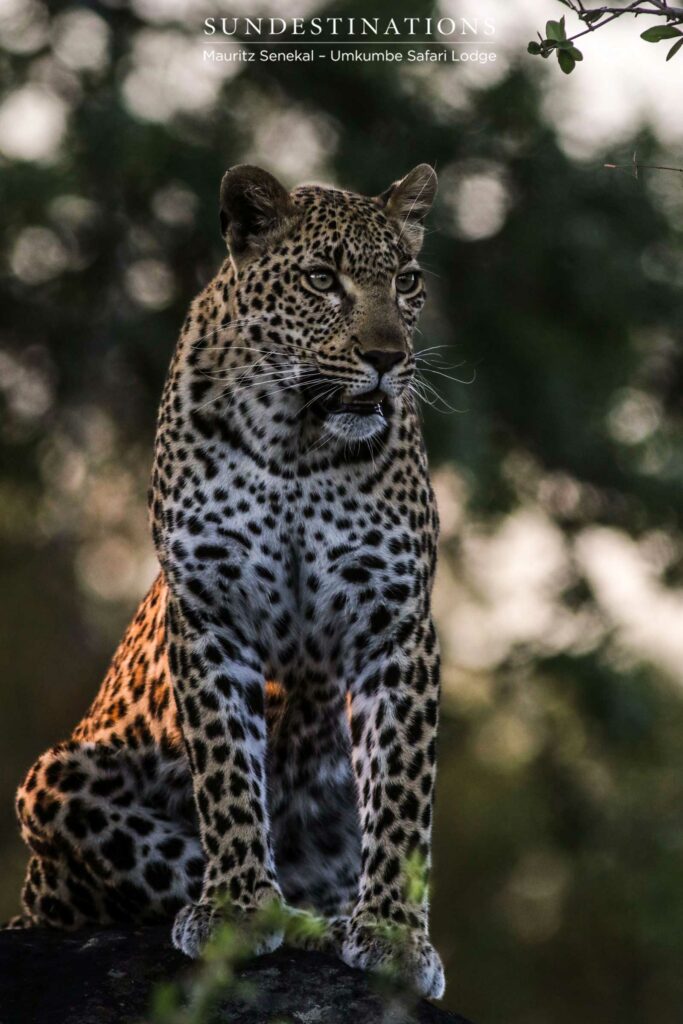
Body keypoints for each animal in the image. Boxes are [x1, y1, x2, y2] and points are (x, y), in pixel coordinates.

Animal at [12, 163, 445, 999]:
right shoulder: (212, 613)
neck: (300, 442)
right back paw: (293, 914)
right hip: (54, 782)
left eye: (406, 281)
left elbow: (402, 796)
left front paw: (390, 933)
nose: (386, 357)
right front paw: (241, 908)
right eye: (321, 280)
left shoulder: (395, 628)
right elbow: (225, 773)